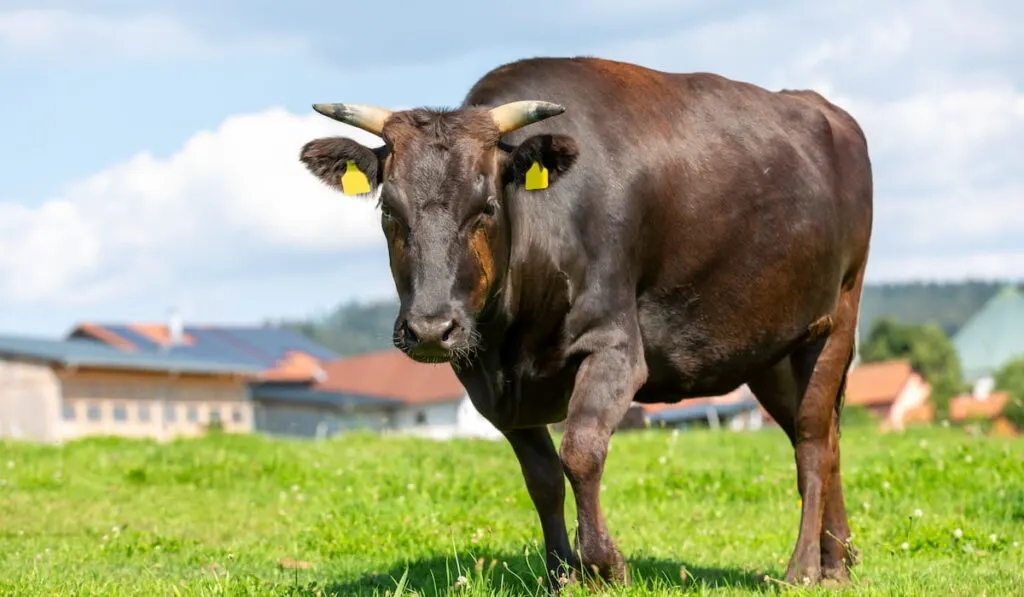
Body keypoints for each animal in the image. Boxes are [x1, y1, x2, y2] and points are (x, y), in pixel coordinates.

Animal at [299, 56, 876, 593]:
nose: (430, 329)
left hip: (834, 321)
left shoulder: (615, 348)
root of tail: (828, 111)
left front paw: (604, 564)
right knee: (825, 437)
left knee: (812, 442)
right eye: (389, 212)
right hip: (770, 350)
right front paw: (562, 573)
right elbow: (542, 478)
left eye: (486, 207)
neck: (514, 340)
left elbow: (580, 453)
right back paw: (839, 561)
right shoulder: (490, 382)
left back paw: (804, 568)